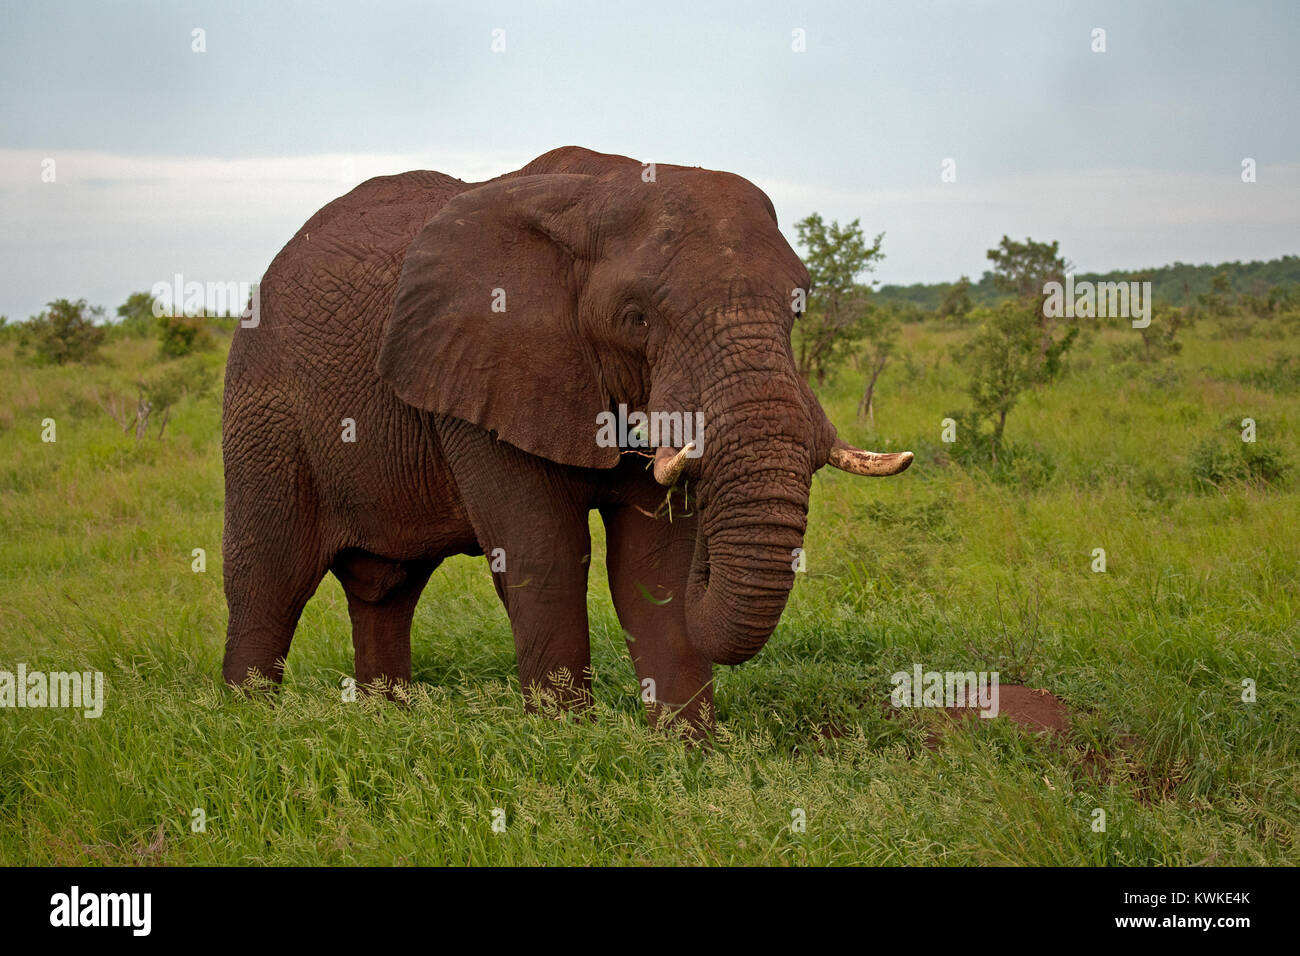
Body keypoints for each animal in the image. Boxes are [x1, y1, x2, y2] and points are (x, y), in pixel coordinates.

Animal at [223, 147, 909, 733]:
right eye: (636, 318)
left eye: (798, 307)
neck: (595, 194)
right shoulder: (487, 374)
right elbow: (544, 556)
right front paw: (565, 744)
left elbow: (652, 568)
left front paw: (689, 756)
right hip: (264, 412)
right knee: (267, 581)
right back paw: (245, 728)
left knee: (386, 591)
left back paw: (387, 725)